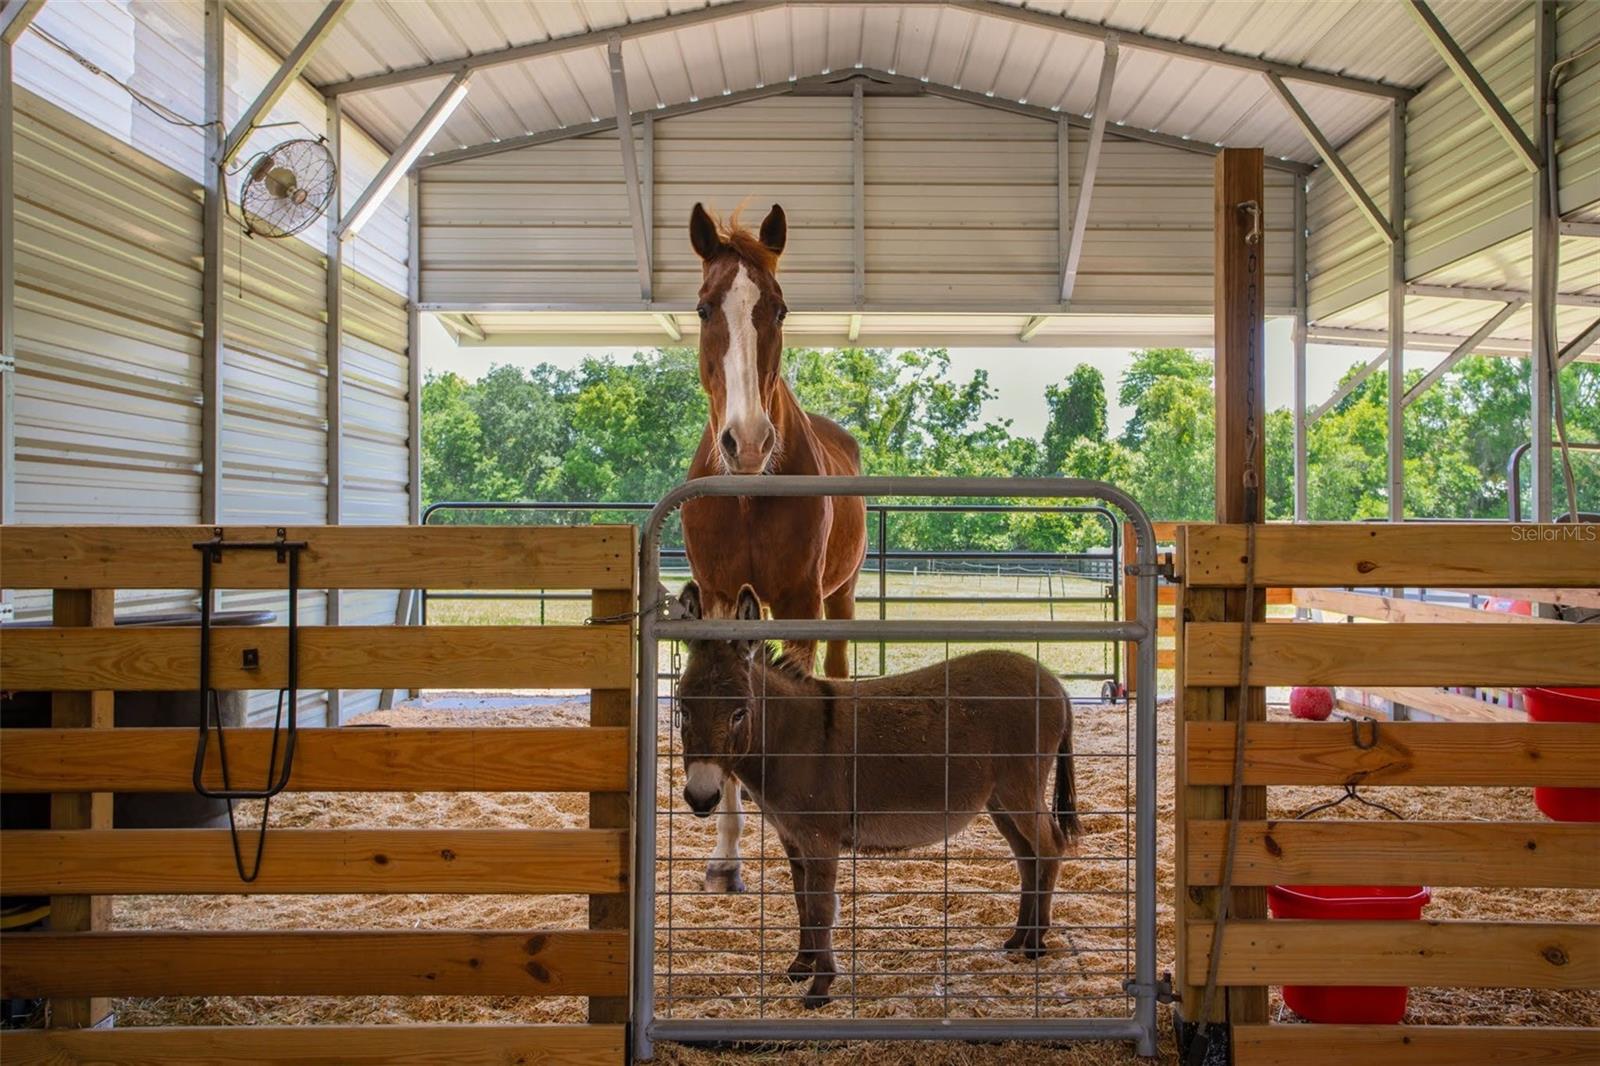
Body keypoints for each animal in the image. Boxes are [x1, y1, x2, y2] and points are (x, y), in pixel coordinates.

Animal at [681, 199, 870, 889]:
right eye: (704, 308)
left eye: (781, 309)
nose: (749, 441)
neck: (747, 494)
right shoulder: (716, 595)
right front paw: (726, 857)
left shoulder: (801, 601)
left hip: (840, 598)